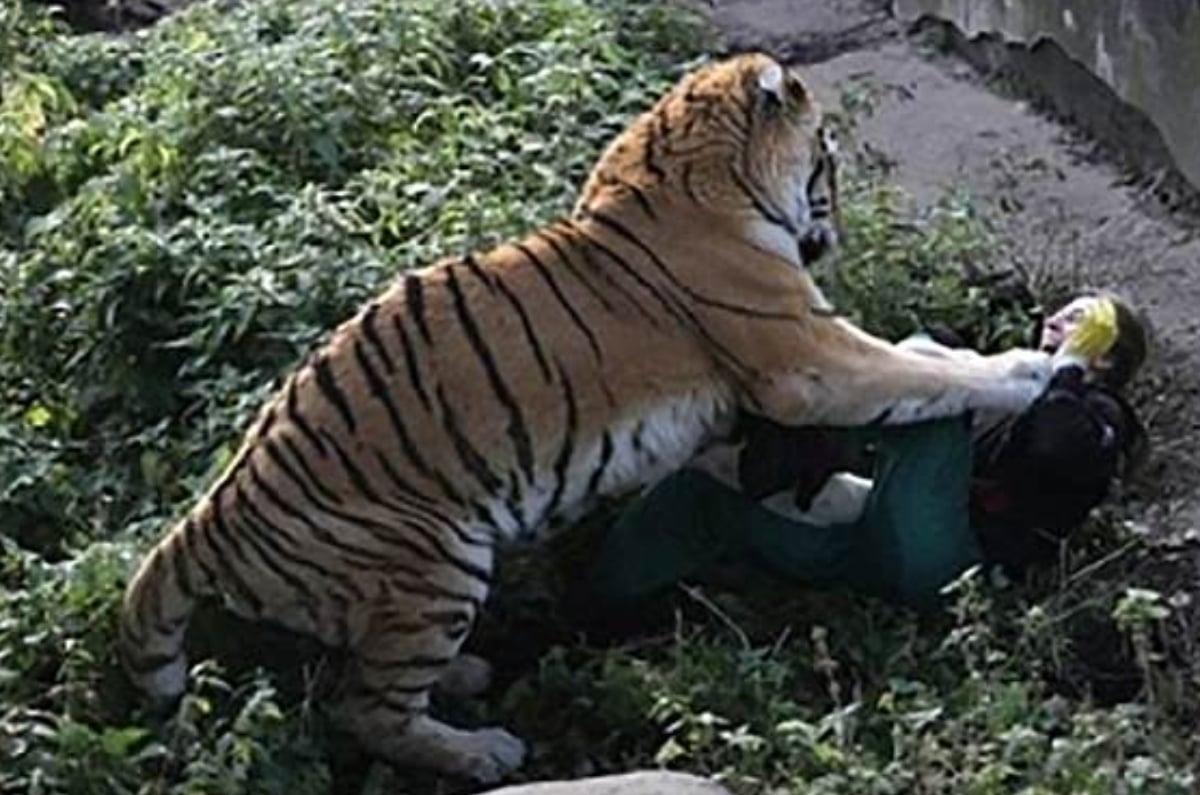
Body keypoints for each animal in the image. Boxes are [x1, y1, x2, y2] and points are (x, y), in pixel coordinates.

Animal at [118, 53, 1052, 783]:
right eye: (827, 158)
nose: (839, 230)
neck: (688, 168)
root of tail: (208, 518)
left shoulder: (725, 414)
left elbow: (790, 459)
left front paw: (851, 496)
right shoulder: (805, 361)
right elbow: (917, 371)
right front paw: (1026, 371)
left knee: (365, 673)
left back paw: (466, 676)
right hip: (434, 560)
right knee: (365, 707)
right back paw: (483, 748)